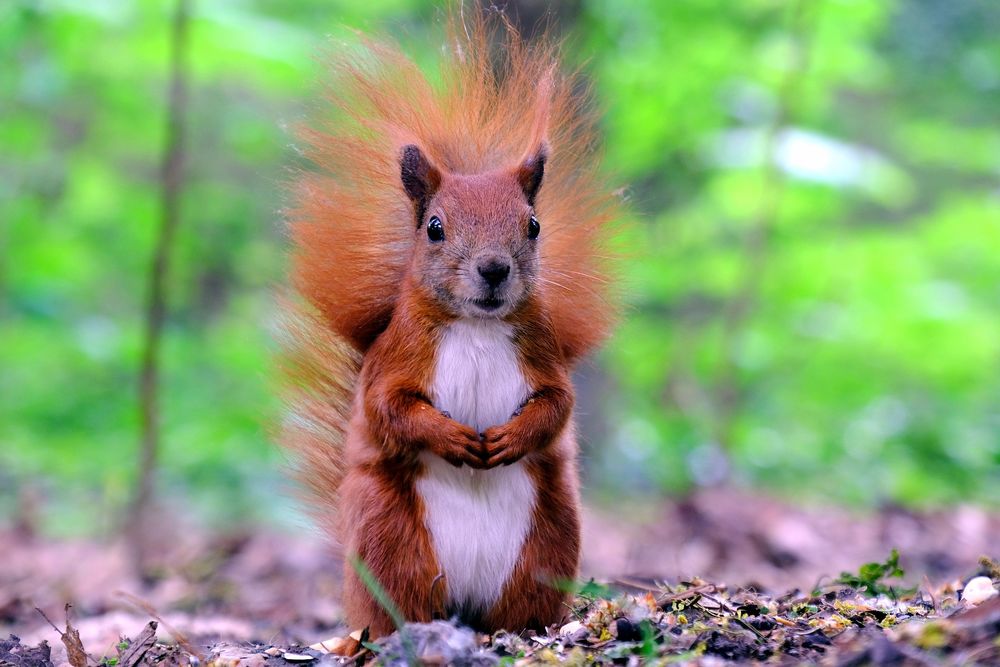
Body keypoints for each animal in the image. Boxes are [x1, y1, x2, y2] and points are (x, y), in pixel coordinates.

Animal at [280, 7, 621, 639]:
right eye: (434, 228)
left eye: (533, 224)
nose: (493, 268)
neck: (477, 327)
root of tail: (469, 605)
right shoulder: (396, 356)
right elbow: (390, 408)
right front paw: (452, 437)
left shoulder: (542, 352)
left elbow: (557, 404)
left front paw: (510, 437)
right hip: (392, 542)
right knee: (403, 604)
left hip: (548, 541)